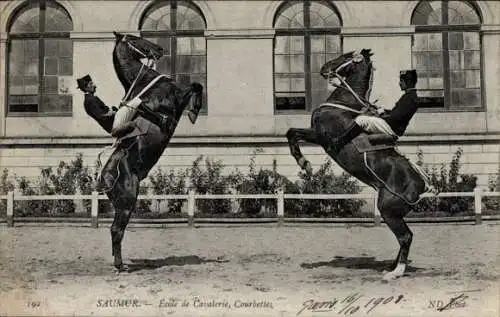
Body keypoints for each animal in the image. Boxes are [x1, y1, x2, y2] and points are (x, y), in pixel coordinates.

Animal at [99, 31, 203, 270]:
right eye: (133, 38)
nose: (159, 49)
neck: (146, 83)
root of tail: (105, 178)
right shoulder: (173, 99)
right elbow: (195, 85)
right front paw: (193, 111)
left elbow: (196, 85)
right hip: (127, 202)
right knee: (116, 230)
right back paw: (119, 265)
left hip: (122, 205)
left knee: (115, 230)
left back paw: (119, 262)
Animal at [288, 48, 428, 278]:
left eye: (345, 56)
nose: (324, 67)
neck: (346, 104)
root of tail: (422, 186)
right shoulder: (314, 134)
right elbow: (291, 132)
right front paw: (303, 163)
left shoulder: (321, 136)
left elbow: (292, 133)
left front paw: (304, 163)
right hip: (394, 212)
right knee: (405, 237)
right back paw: (392, 267)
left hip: (388, 210)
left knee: (405, 237)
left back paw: (396, 272)